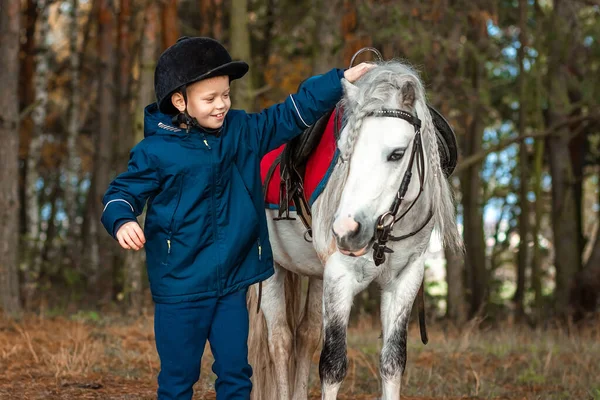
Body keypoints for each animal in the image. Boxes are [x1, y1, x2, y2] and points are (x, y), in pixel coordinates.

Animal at [248, 60, 464, 400]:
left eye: (397, 153)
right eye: (342, 149)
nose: (346, 229)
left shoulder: (406, 279)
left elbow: (392, 362)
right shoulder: (340, 275)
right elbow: (333, 365)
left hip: (315, 274)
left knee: (306, 334)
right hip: (272, 269)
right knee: (279, 340)